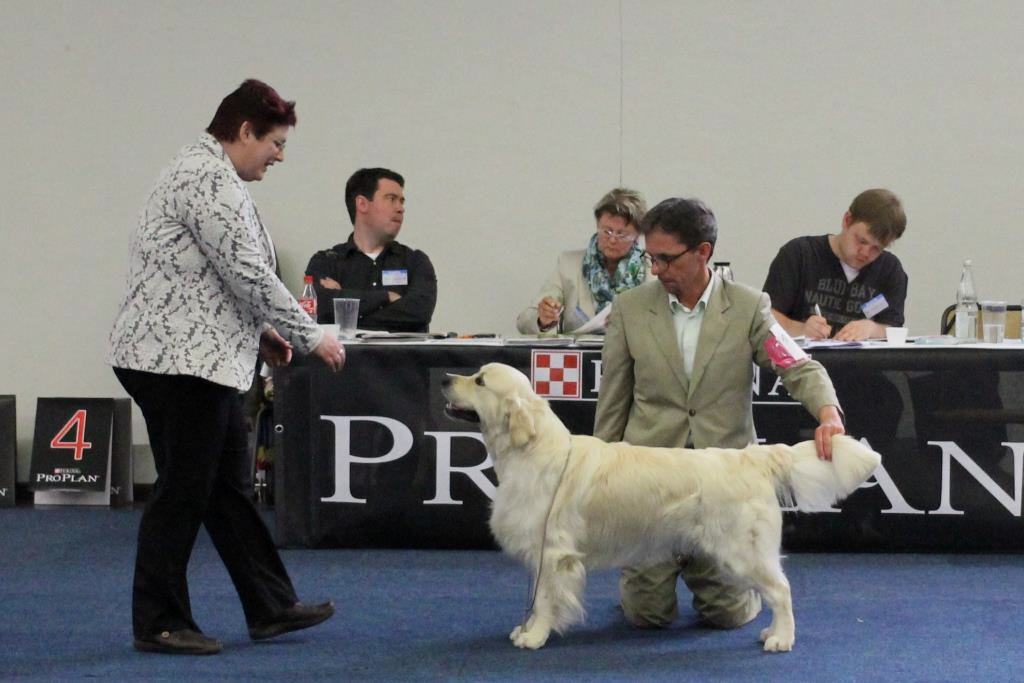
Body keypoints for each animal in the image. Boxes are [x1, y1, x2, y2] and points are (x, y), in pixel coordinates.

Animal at [441, 362, 880, 652]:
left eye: (479, 381)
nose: (446, 379)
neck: (531, 450)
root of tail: (750, 457)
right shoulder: (540, 550)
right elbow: (536, 597)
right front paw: (526, 629)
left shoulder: (554, 552)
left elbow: (546, 598)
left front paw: (535, 636)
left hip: (743, 550)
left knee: (781, 590)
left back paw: (780, 638)